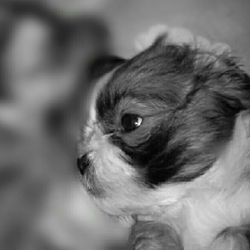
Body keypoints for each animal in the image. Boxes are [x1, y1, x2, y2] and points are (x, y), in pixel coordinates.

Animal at [78, 26, 250, 249]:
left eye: (130, 122)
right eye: (85, 133)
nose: (80, 163)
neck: (192, 199)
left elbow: (231, 232)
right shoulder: (154, 226)